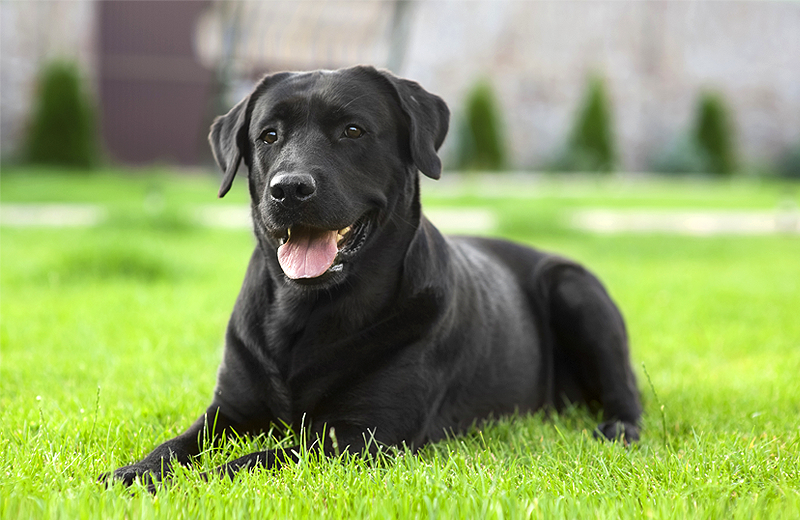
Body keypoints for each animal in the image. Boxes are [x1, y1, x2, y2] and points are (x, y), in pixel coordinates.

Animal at [108, 67, 644, 486]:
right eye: (268, 136)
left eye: (352, 130)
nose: (289, 189)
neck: (305, 311)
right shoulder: (229, 410)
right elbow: (177, 443)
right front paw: (135, 472)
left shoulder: (365, 434)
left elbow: (259, 458)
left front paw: (197, 480)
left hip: (576, 290)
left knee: (628, 393)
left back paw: (617, 430)